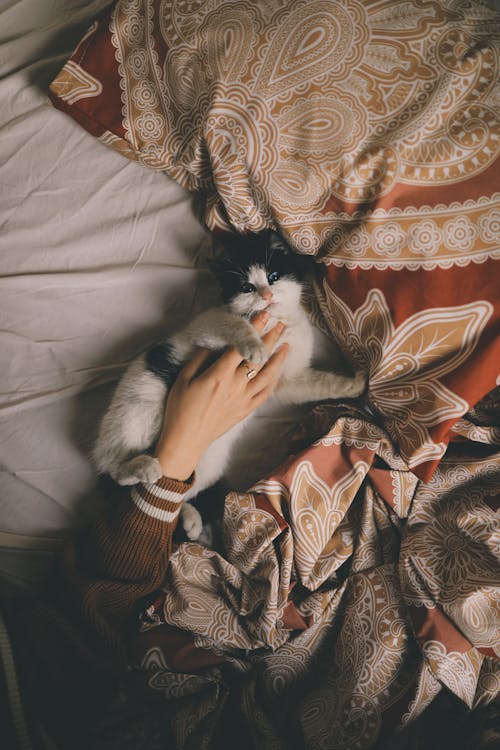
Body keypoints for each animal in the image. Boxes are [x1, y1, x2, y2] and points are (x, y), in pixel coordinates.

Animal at [94, 229, 368, 540]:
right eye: (247, 287)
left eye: (273, 276)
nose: (267, 295)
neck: (278, 323)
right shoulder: (207, 328)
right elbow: (236, 324)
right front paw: (255, 347)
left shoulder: (285, 380)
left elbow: (319, 384)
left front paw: (355, 386)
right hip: (135, 412)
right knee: (114, 469)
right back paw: (139, 466)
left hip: (207, 464)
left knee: (182, 486)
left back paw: (189, 519)